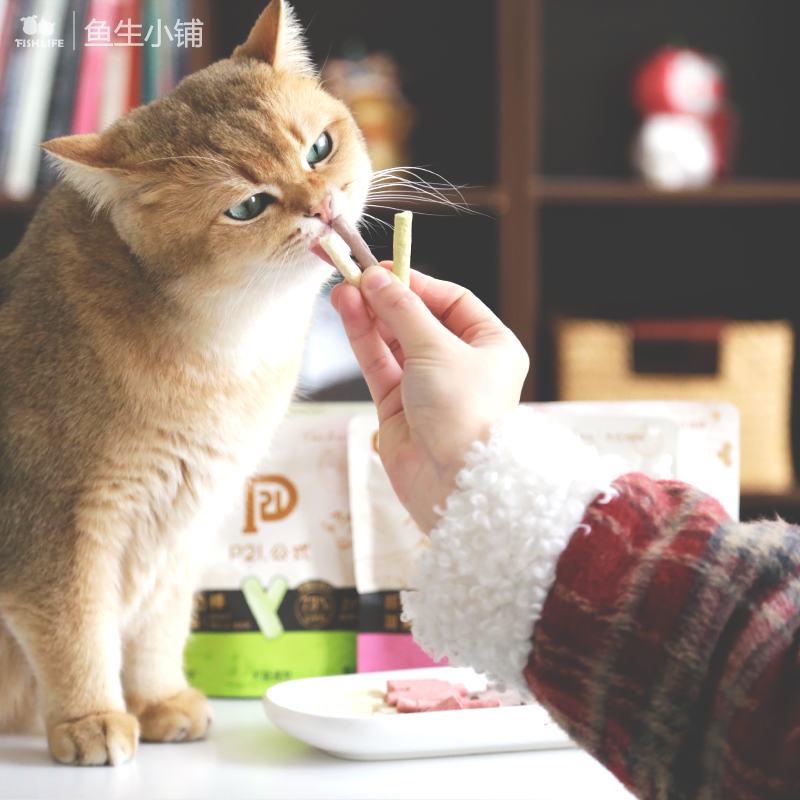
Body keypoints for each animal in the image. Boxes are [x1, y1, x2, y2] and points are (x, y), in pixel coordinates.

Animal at [0, 0, 372, 764]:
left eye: (319, 149)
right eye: (247, 206)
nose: (323, 207)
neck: (223, 349)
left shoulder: (184, 521)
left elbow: (158, 625)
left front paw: (158, 701)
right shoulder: (53, 528)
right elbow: (74, 627)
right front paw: (90, 719)